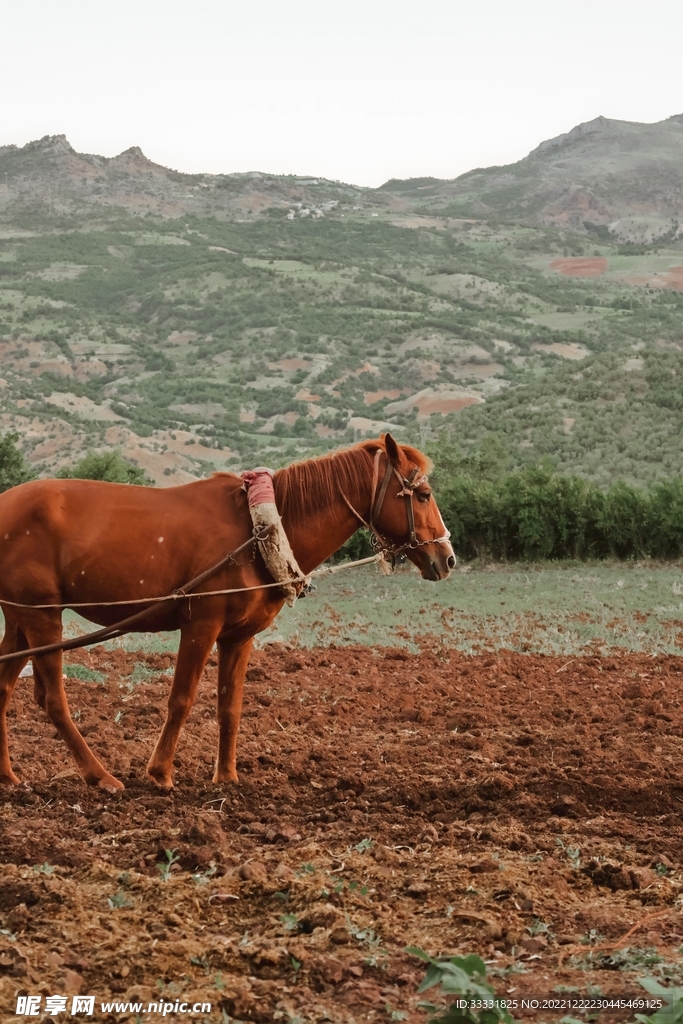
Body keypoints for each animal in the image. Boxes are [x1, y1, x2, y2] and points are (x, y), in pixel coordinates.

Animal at [0, 433, 454, 793]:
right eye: (424, 494)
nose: (447, 558)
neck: (255, 529)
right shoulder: (201, 625)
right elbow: (181, 699)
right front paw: (160, 773)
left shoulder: (239, 636)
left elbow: (229, 706)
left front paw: (227, 777)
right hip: (43, 615)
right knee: (53, 701)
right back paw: (101, 777)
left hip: (19, 617)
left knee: (4, 689)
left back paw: (8, 776)